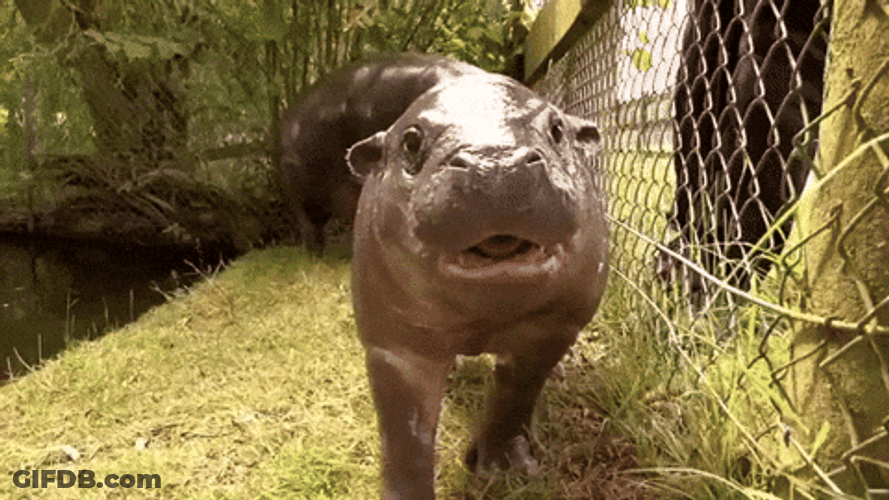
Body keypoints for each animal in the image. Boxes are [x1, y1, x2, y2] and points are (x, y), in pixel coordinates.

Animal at [347, 72, 609, 499]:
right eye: (411, 141)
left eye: (557, 129)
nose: (496, 164)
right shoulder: (395, 347)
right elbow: (405, 433)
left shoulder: (551, 329)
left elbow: (515, 398)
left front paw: (505, 469)